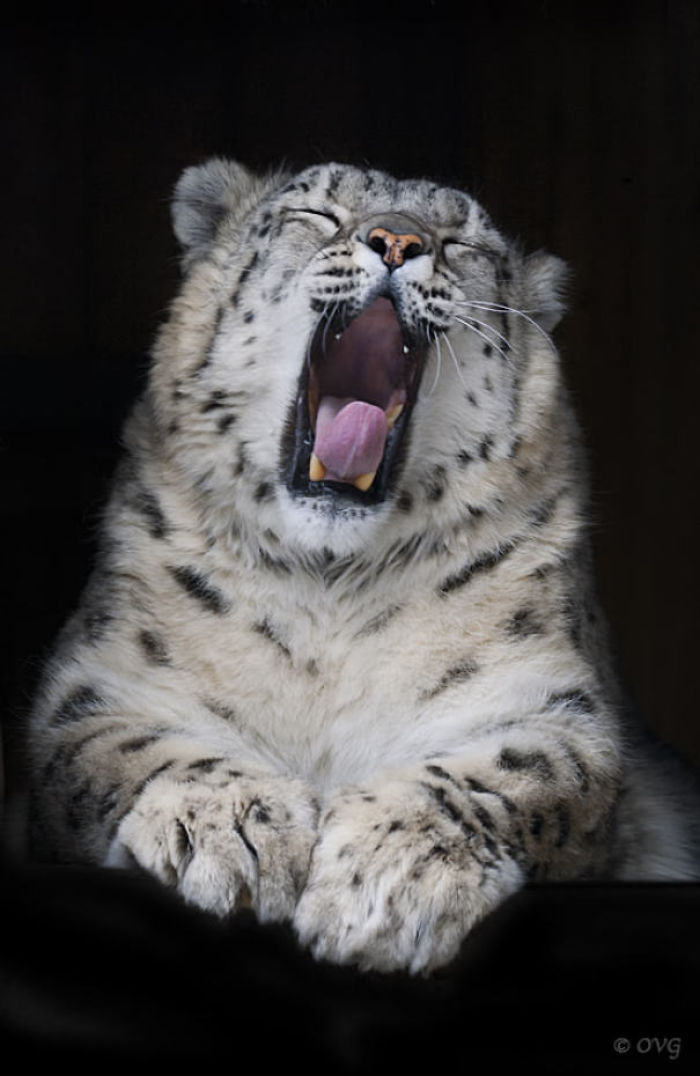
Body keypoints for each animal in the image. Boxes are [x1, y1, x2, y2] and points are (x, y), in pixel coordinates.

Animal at [27, 158, 700, 974]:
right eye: (319, 212)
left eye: (461, 242)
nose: (398, 241)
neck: (330, 589)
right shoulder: (105, 677)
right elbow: (124, 748)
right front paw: (230, 830)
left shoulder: (549, 699)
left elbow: (519, 773)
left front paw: (389, 879)